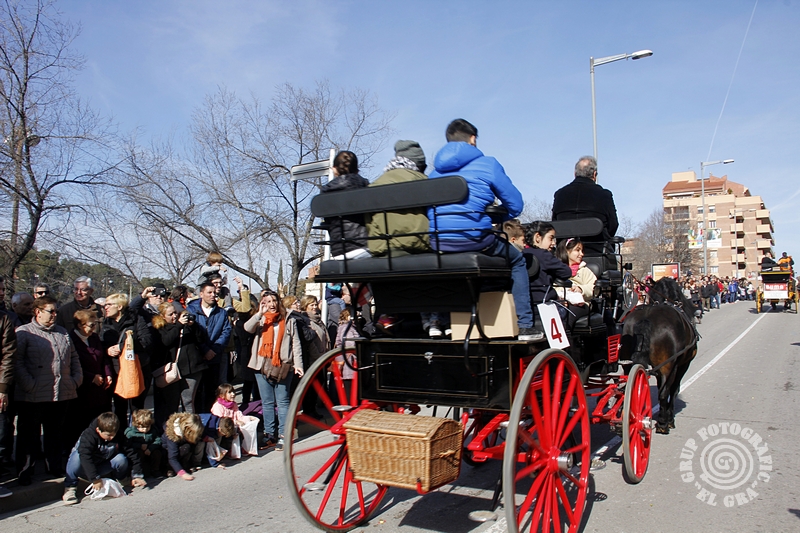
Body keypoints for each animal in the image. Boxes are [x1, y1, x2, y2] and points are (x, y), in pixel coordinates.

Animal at [618, 277, 699, 434]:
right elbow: (673, 390)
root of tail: (646, 317)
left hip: (628, 364)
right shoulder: (682, 365)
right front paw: (670, 420)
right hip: (667, 366)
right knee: (664, 393)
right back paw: (662, 424)